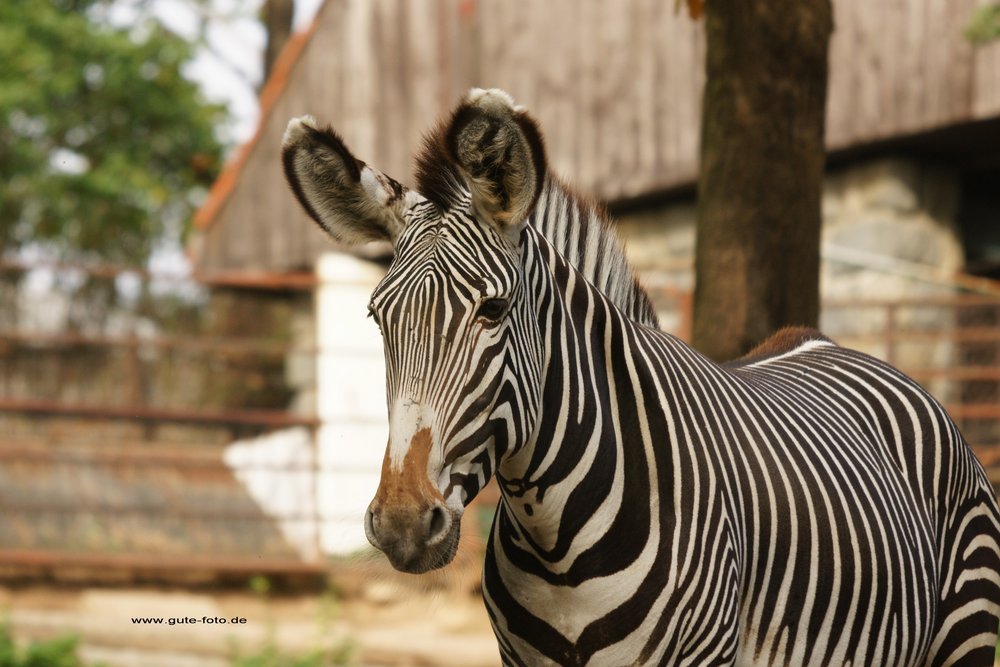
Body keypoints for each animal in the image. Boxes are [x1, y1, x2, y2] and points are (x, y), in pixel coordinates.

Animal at [282, 88, 1000, 666]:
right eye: (378, 319)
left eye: (494, 310)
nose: (402, 525)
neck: (557, 547)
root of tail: (824, 342)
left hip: (964, 632)